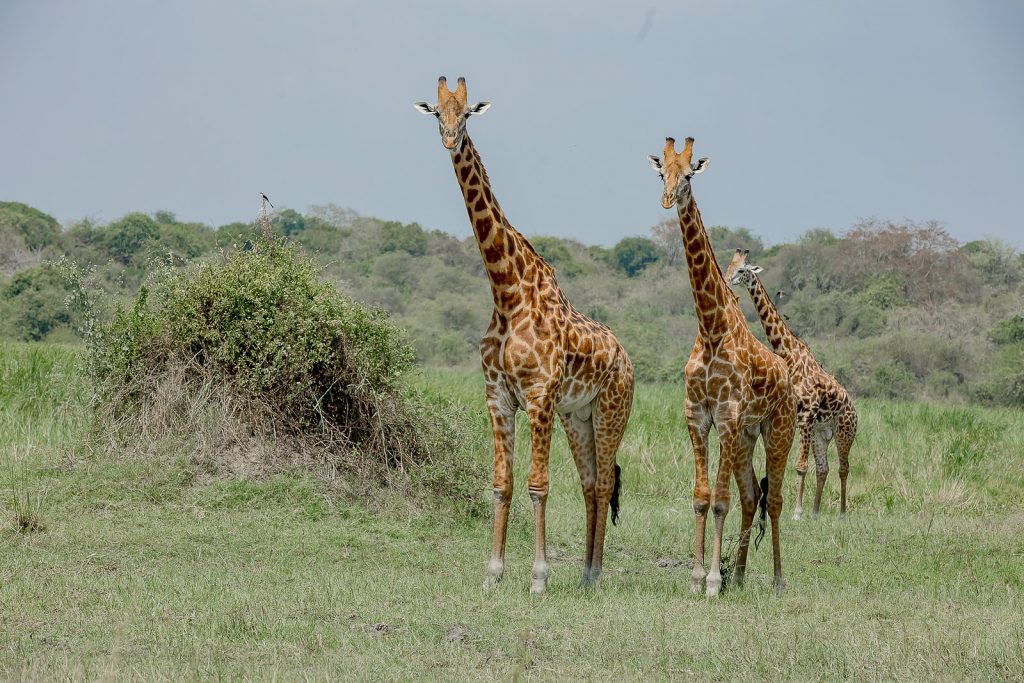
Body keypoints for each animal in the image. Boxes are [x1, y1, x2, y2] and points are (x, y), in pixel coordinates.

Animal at [415, 77, 630, 593]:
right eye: (436, 113)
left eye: (467, 114)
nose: (449, 139)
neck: (506, 292)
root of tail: (628, 359)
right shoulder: (498, 396)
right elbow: (502, 484)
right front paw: (492, 573)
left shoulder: (538, 397)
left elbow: (538, 485)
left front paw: (538, 577)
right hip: (578, 416)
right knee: (591, 484)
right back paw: (586, 574)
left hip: (612, 410)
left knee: (605, 483)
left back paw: (594, 574)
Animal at [647, 136, 798, 593]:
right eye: (661, 173)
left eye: (689, 175)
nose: (668, 199)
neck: (711, 328)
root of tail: (788, 376)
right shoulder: (698, 415)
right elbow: (701, 498)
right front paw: (698, 577)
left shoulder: (727, 416)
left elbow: (719, 501)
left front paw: (713, 579)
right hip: (747, 437)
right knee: (752, 496)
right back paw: (743, 575)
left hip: (778, 430)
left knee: (775, 499)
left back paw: (777, 579)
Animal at [724, 250, 860, 518]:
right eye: (730, 266)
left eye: (742, 270)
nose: (728, 280)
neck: (788, 353)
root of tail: (854, 408)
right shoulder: (796, 418)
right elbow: (796, 464)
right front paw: (800, 511)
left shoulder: (806, 415)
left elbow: (800, 466)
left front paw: (796, 512)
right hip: (821, 433)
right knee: (823, 468)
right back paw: (815, 512)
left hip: (845, 431)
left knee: (843, 468)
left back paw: (841, 513)